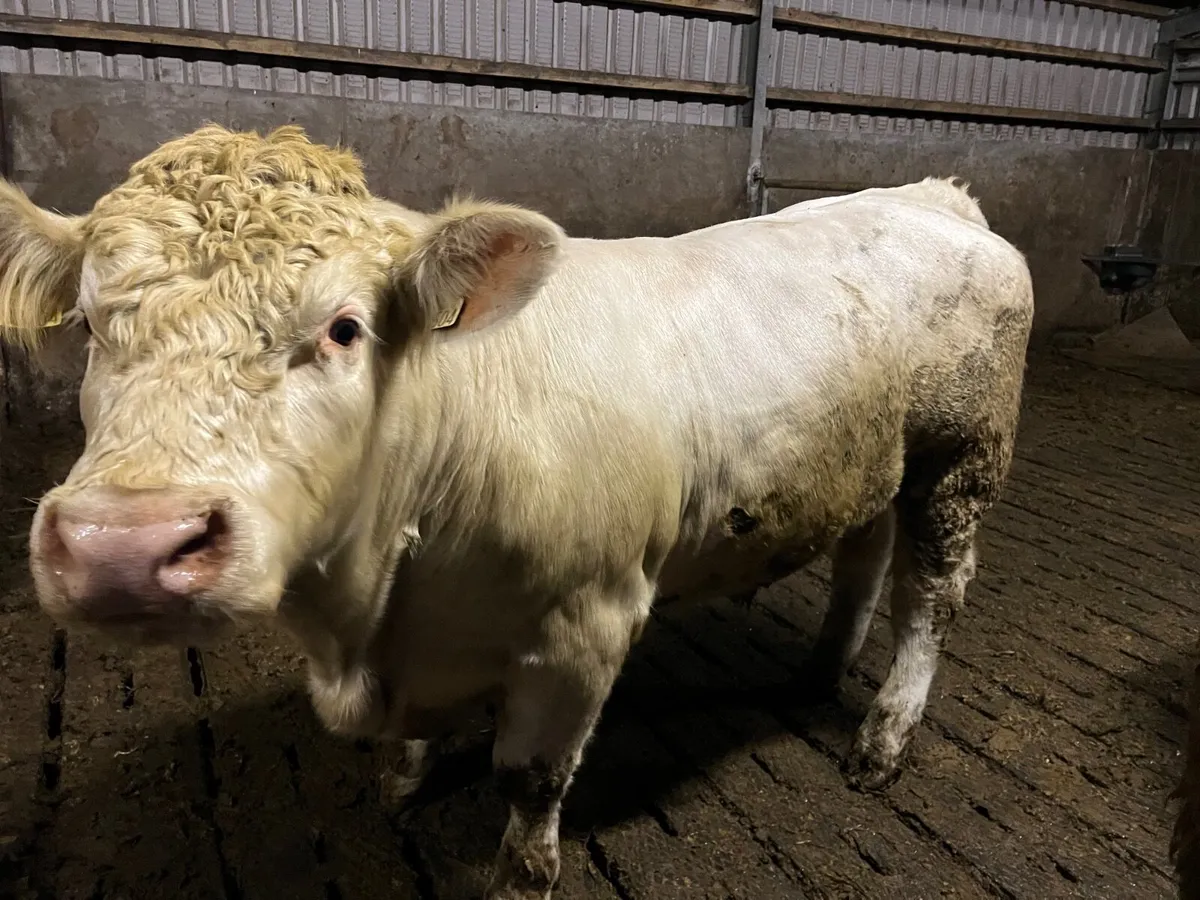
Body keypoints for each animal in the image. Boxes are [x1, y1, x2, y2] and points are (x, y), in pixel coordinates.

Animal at [0, 125, 1033, 899]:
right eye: (88, 325)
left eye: (344, 328)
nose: (123, 547)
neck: (371, 618)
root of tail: (930, 194)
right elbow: (414, 742)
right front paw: (403, 780)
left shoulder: (588, 623)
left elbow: (529, 778)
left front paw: (522, 873)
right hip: (876, 461)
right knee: (863, 557)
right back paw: (819, 671)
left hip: (961, 458)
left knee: (931, 597)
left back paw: (884, 735)